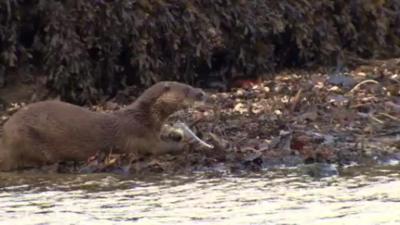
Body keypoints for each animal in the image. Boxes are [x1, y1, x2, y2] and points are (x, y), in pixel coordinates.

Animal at [0, 81, 206, 171]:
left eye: (189, 84)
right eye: (186, 89)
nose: (202, 92)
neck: (144, 117)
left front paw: (177, 133)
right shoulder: (138, 135)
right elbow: (159, 147)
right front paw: (186, 144)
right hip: (25, 140)